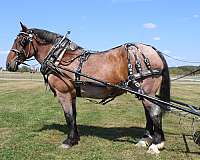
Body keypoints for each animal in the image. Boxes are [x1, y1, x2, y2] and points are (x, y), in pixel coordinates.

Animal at [6, 22, 170, 154]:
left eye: (21, 41)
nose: (8, 64)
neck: (59, 58)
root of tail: (153, 50)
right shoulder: (71, 93)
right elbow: (74, 115)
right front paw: (75, 138)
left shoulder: (63, 93)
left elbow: (68, 115)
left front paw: (68, 141)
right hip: (143, 92)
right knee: (148, 113)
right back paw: (145, 140)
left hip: (147, 91)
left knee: (155, 112)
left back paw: (156, 144)